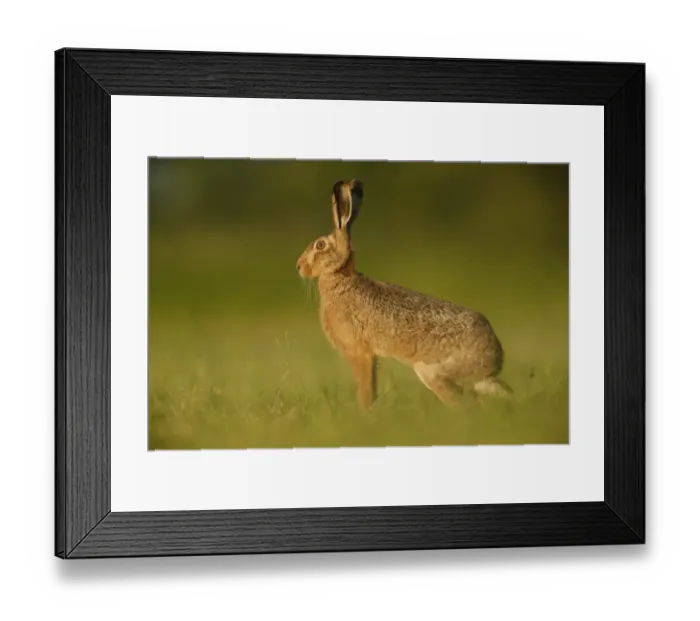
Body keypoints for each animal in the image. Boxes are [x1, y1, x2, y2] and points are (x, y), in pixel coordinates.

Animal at [296, 179, 512, 409]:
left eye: (320, 245)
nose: (299, 266)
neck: (340, 275)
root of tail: (494, 356)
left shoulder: (361, 351)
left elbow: (366, 388)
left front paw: (364, 411)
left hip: (431, 371)